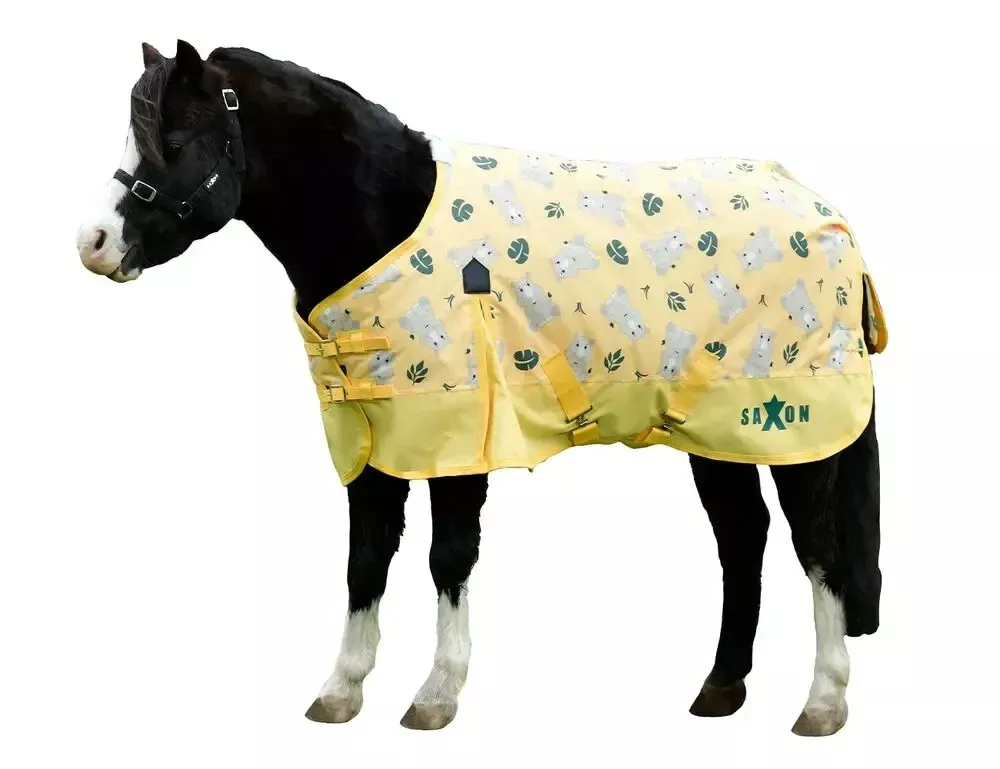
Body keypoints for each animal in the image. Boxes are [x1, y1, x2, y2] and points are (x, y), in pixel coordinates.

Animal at [74, 40, 881, 735]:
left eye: (176, 139)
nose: (94, 244)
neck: (387, 220)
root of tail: (824, 212)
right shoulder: (372, 439)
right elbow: (364, 558)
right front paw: (341, 690)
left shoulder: (459, 437)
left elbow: (449, 557)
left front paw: (436, 694)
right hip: (717, 432)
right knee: (743, 538)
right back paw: (720, 689)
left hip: (797, 430)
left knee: (819, 547)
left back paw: (822, 703)